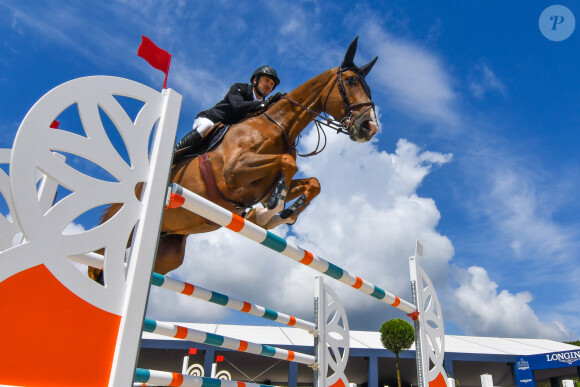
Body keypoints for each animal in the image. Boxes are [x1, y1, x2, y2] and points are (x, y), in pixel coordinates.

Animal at [88, 38, 378, 284]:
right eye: (351, 81)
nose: (370, 127)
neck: (278, 125)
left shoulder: (262, 183)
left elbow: (312, 182)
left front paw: (282, 213)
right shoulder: (233, 171)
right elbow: (288, 162)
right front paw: (269, 212)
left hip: (168, 251)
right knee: (96, 267)